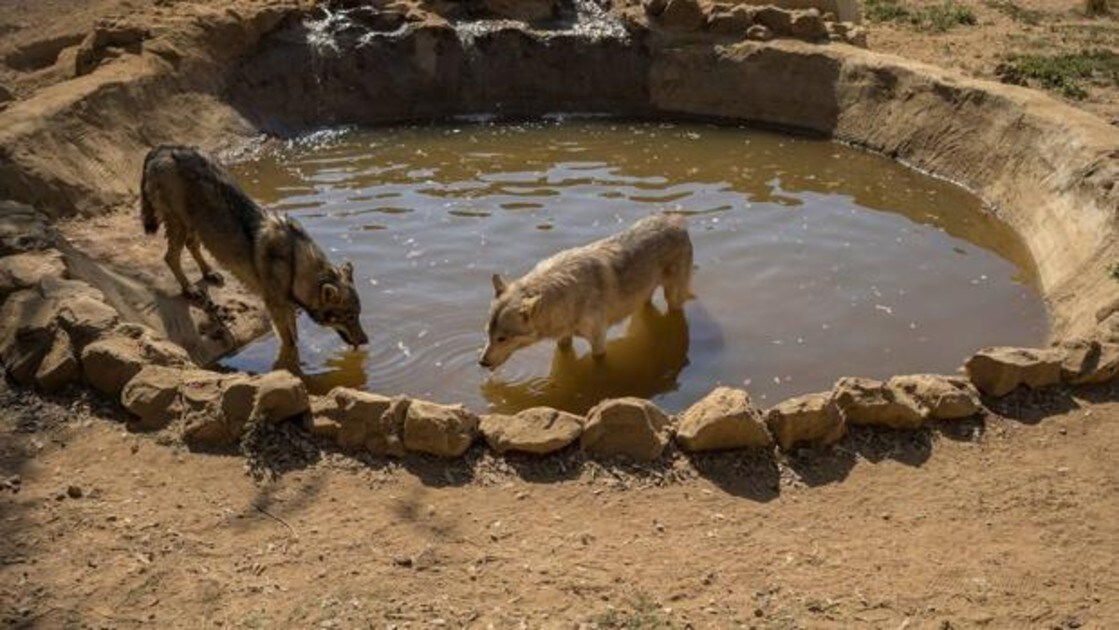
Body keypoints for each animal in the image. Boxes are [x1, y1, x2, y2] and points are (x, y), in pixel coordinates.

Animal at [139, 145, 367, 367]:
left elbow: (295, 336)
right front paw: (293, 366)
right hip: (180, 224)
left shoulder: (287, 308)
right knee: (170, 257)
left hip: (196, 225)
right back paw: (190, 289)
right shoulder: (276, 308)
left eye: (358, 314)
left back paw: (209, 273)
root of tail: (164, 149)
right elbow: (290, 342)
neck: (295, 265)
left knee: (191, 246)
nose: (366, 341)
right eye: (349, 316)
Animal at [478, 211, 689, 369]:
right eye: (487, 333)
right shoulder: (563, 339)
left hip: (672, 298)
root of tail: (675, 219)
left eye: (502, 338)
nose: (481, 363)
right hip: (641, 300)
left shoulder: (599, 343)